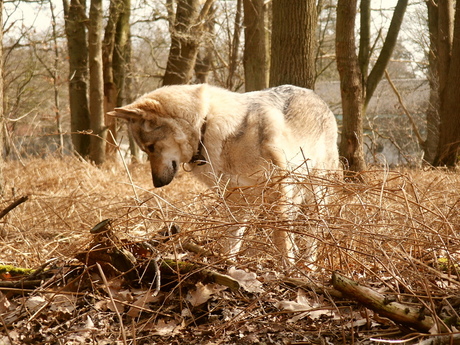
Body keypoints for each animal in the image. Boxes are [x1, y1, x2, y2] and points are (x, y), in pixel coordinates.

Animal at [108, 83, 342, 260]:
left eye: (150, 148)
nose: (156, 183)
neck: (205, 126)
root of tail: (321, 101)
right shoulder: (236, 200)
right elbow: (231, 242)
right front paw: (228, 267)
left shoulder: (277, 193)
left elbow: (281, 239)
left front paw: (286, 270)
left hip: (314, 194)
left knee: (312, 233)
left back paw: (308, 266)